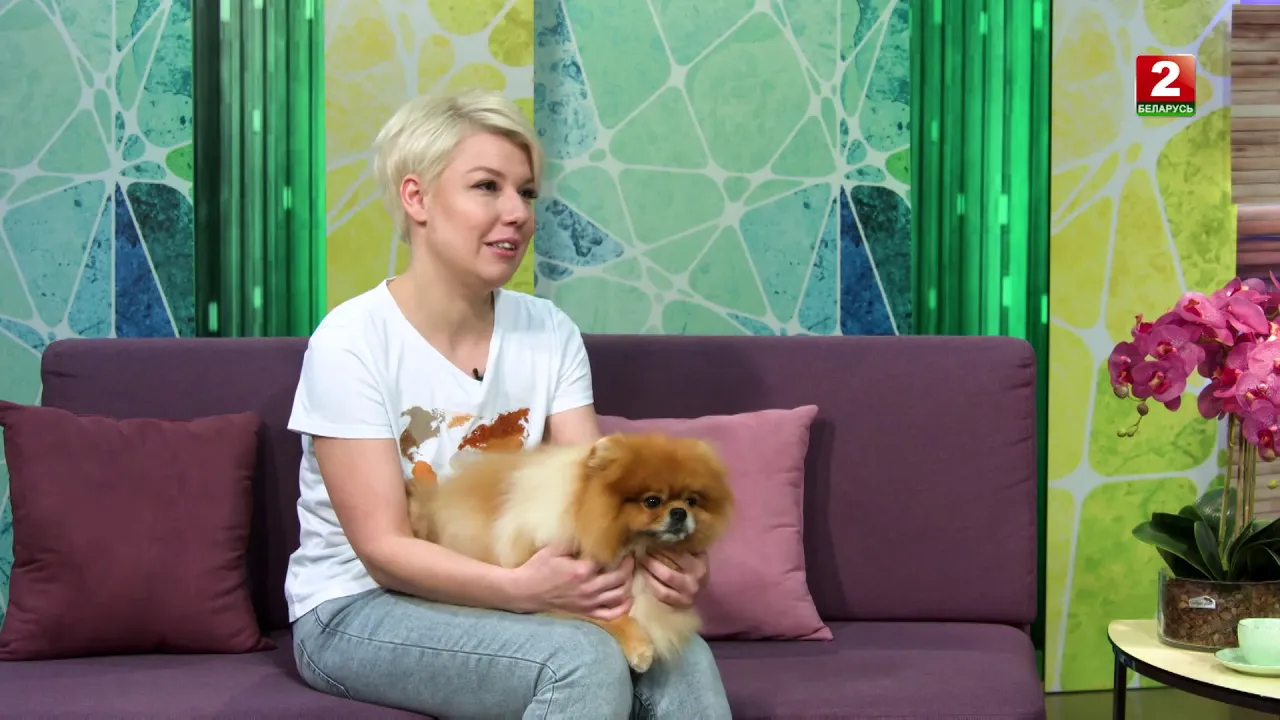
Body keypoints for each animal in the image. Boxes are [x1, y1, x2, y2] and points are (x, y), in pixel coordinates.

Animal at [404, 432, 734, 672]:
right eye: (652, 501)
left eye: (692, 501)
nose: (679, 512)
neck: (632, 550)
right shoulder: (558, 590)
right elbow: (613, 617)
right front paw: (639, 648)